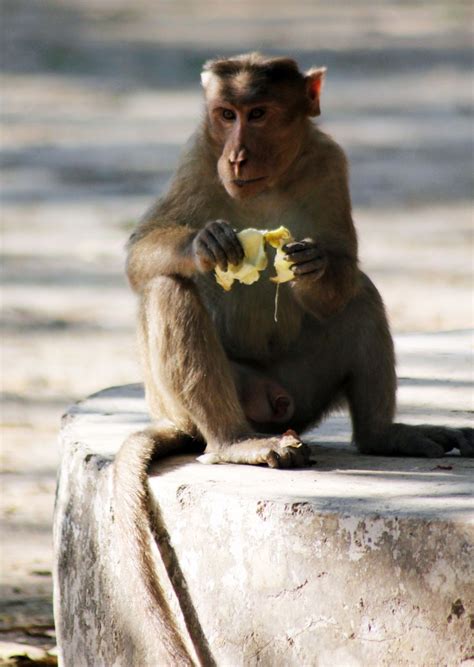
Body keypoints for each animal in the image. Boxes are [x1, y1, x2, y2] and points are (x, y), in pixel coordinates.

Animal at [113, 53, 472, 667]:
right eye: (225, 114)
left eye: (258, 113)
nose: (235, 155)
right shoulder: (196, 154)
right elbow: (143, 255)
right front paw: (202, 246)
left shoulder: (330, 161)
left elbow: (344, 269)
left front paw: (314, 265)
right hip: (201, 403)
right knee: (167, 289)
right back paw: (235, 442)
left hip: (300, 392)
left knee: (360, 297)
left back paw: (381, 435)